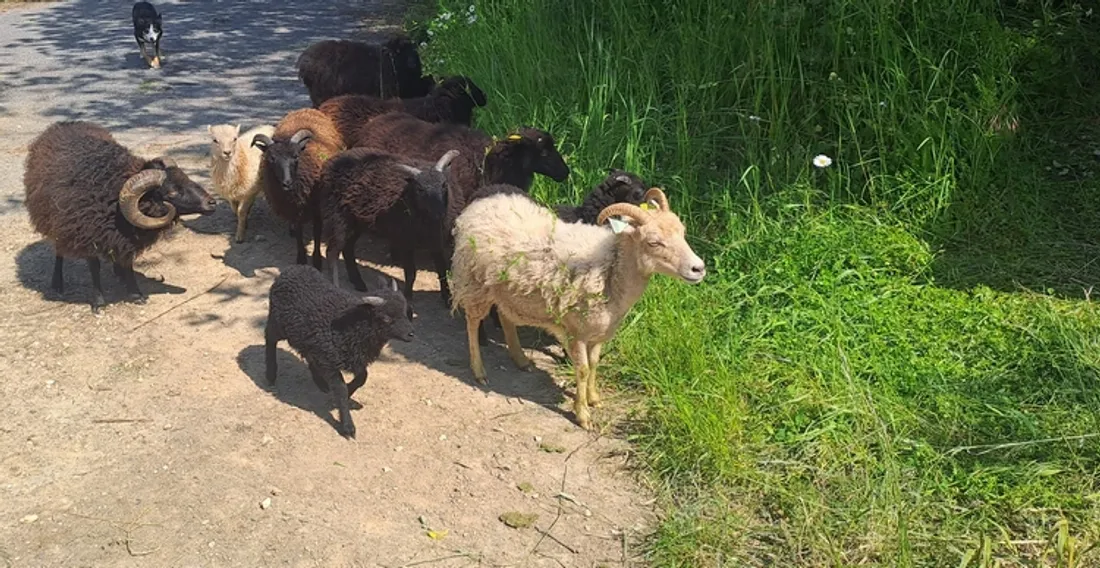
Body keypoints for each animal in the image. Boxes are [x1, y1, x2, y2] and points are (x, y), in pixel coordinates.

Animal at [23, 121, 217, 312]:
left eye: (186, 179)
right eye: (172, 192)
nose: (212, 203)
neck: (109, 190)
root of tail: (63, 123)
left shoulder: (126, 236)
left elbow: (127, 263)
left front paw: (135, 294)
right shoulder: (87, 234)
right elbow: (94, 267)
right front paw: (99, 302)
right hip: (56, 221)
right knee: (59, 250)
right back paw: (57, 283)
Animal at [251, 108, 344, 268]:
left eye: (295, 157)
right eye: (271, 158)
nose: (287, 183)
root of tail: (305, 109)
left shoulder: (316, 207)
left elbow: (317, 232)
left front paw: (317, 260)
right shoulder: (294, 209)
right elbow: (299, 232)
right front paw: (301, 258)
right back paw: (291, 229)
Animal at [265, 265, 414, 439]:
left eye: (405, 311)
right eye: (386, 318)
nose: (411, 334)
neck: (355, 327)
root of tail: (292, 270)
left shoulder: (354, 357)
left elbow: (362, 378)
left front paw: (350, 391)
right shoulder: (329, 361)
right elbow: (341, 390)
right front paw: (348, 426)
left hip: (309, 339)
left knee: (309, 355)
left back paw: (320, 382)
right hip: (278, 323)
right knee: (269, 338)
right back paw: (271, 374)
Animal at [318, 149, 461, 315]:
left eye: (444, 185)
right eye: (420, 189)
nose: (438, 214)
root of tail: (331, 161)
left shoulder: (436, 240)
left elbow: (441, 270)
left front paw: (447, 298)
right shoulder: (405, 240)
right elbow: (411, 274)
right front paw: (408, 303)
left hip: (356, 222)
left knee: (348, 249)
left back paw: (358, 282)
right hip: (337, 217)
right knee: (332, 252)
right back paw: (337, 286)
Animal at [450, 188, 706, 430]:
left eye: (682, 233)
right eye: (653, 242)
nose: (699, 268)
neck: (610, 270)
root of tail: (484, 204)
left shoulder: (598, 331)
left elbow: (594, 363)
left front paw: (593, 398)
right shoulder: (576, 332)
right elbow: (582, 369)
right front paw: (582, 414)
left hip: (507, 290)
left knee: (505, 317)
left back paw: (521, 359)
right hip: (475, 284)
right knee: (472, 323)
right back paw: (479, 370)